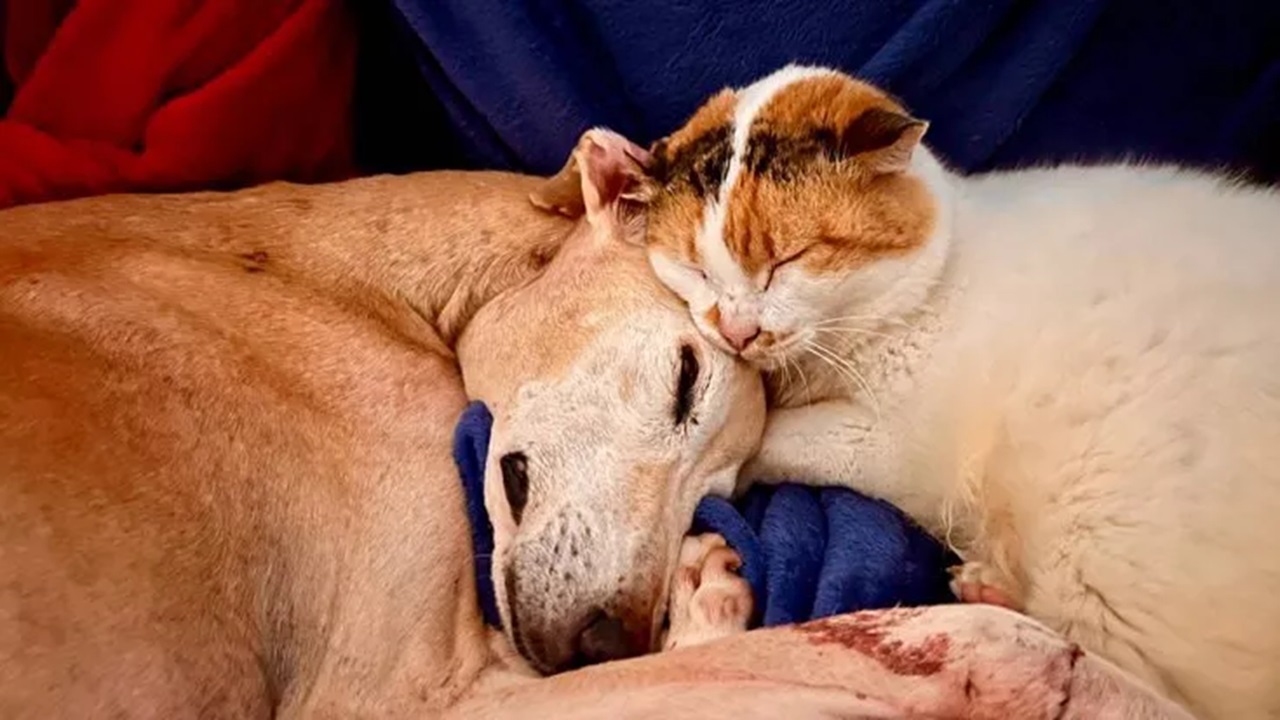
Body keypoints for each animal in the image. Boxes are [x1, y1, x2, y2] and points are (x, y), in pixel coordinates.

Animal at [555, 65, 1280, 712]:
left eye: (787, 261)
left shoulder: (884, 443)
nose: (737, 330)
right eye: (696, 269)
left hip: (1100, 547)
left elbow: (773, 438)